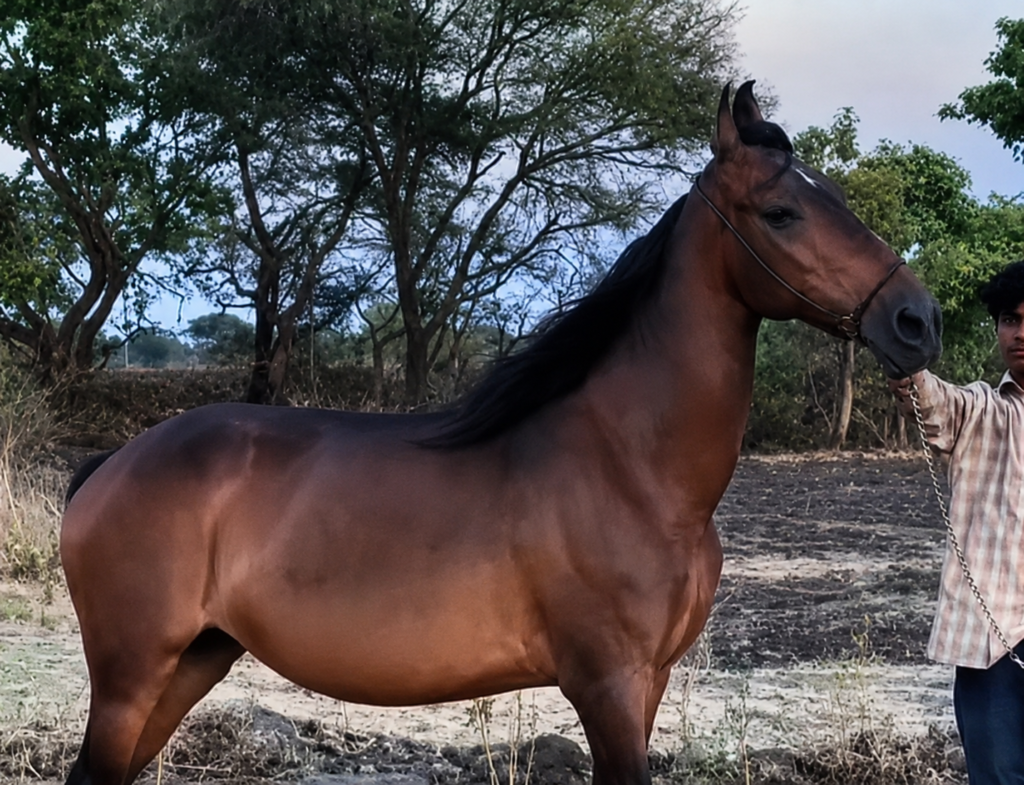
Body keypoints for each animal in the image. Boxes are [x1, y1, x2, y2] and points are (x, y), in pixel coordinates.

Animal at [60, 81, 942, 785]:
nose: (918, 321)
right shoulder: (609, 685)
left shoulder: (649, 682)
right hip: (132, 678)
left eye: (835, 196)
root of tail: (109, 465)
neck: (633, 467)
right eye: (783, 211)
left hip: (191, 663)